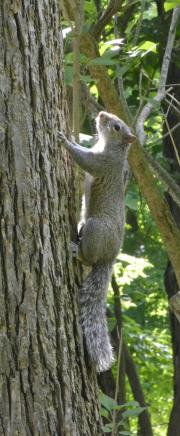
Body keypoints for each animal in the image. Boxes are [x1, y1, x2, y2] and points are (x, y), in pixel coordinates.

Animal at [58, 111, 136, 372]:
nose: (101, 113)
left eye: (117, 127)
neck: (111, 147)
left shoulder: (102, 163)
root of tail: (111, 256)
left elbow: (84, 160)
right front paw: (73, 136)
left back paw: (77, 251)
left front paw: (65, 140)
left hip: (95, 228)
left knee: (89, 258)